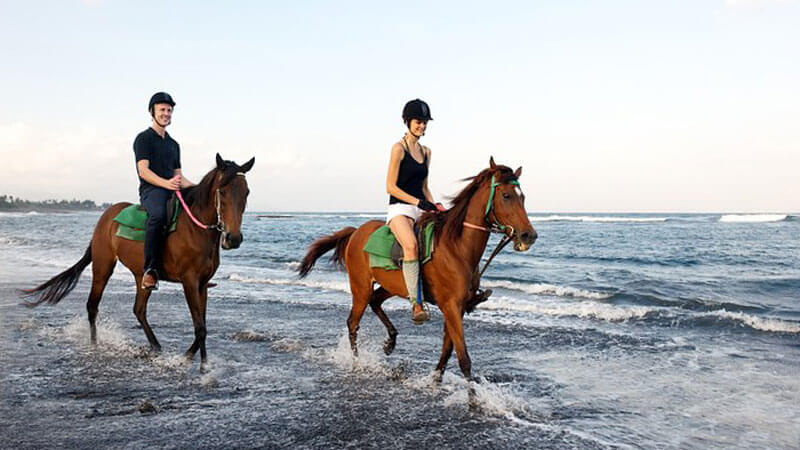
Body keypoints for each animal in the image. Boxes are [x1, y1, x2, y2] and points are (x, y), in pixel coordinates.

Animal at [22, 155, 253, 366]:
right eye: (222, 191)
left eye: (246, 192)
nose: (234, 238)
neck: (196, 230)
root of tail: (106, 217)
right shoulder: (189, 282)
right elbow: (200, 328)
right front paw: (194, 362)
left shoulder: (202, 284)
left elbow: (202, 326)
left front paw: (199, 361)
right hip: (103, 268)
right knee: (92, 306)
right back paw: (95, 344)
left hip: (142, 275)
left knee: (139, 310)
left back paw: (155, 346)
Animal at [296, 158, 536, 380]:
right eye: (506, 196)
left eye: (523, 197)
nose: (529, 236)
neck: (456, 247)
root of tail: (356, 232)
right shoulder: (450, 306)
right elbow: (463, 359)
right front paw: (472, 396)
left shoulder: (456, 308)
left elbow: (447, 350)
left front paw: (435, 380)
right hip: (360, 287)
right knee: (353, 322)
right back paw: (357, 363)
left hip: (392, 285)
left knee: (375, 301)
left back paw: (391, 341)